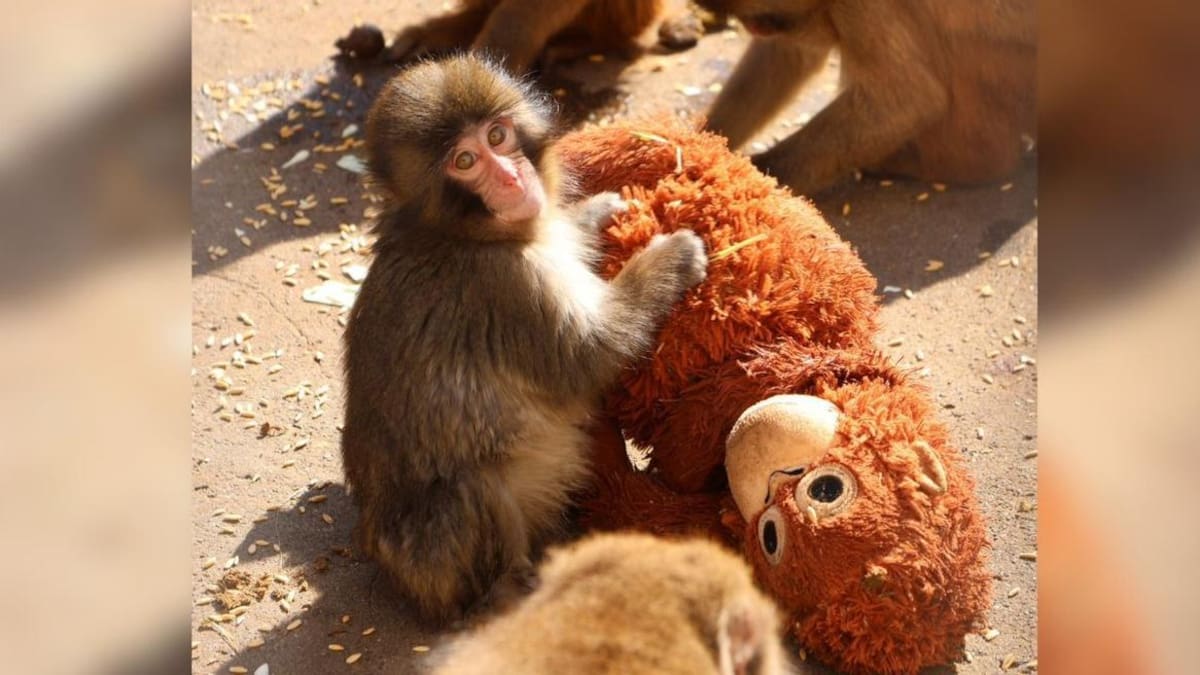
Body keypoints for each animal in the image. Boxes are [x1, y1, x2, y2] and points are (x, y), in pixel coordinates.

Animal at [341, 54, 709, 626]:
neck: (461, 234)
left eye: (498, 135)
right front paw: (669, 259)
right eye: (465, 160)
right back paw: (512, 590)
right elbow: (590, 355)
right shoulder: (507, 286)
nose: (512, 177)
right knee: (470, 490)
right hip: (435, 561)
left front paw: (594, 213)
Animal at [697, 0, 1037, 195]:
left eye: (756, 18)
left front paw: (753, 181)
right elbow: (791, 53)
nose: (753, 27)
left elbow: (907, 100)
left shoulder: (861, 4)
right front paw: (703, 140)